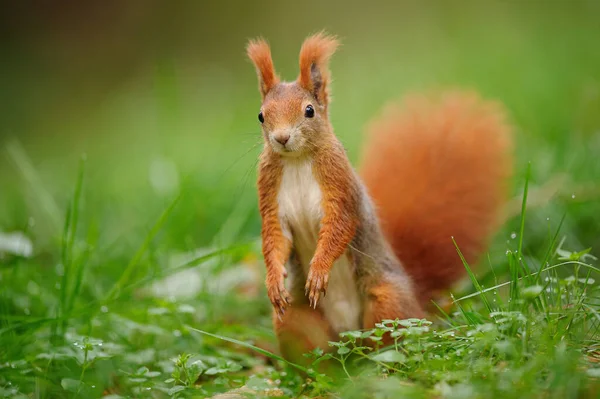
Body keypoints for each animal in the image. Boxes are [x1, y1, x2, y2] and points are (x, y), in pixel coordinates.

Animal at [246, 31, 512, 362]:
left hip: (387, 304)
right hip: (296, 320)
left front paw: (319, 271)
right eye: (260, 116)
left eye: (309, 110)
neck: (297, 160)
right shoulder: (271, 196)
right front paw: (273, 282)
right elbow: (275, 238)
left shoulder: (341, 188)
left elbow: (340, 226)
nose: (281, 138)